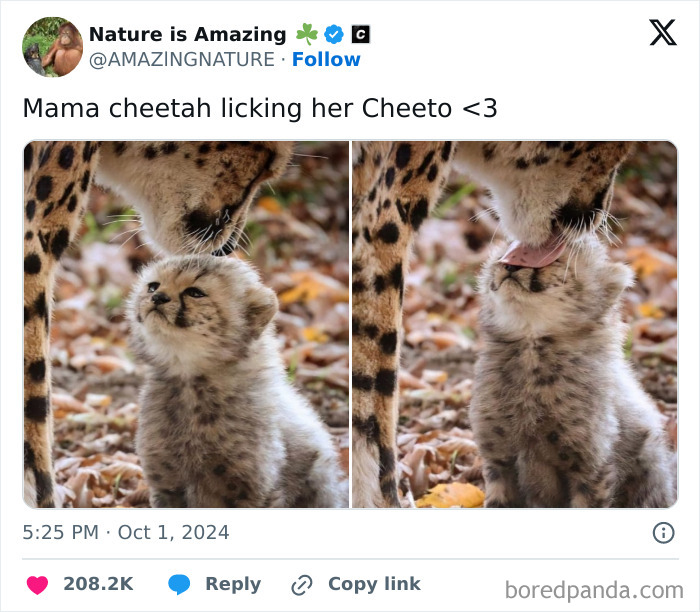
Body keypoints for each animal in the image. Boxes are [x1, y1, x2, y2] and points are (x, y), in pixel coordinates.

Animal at [128, 255, 347, 508]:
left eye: (195, 293)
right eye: (153, 286)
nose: (157, 298)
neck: (190, 380)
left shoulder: (254, 489)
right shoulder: (167, 485)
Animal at [470, 236, 674, 508]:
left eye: (554, 258)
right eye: (507, 253)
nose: (510, 266)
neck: (531, 345)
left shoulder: (591, 467)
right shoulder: (499, 459)